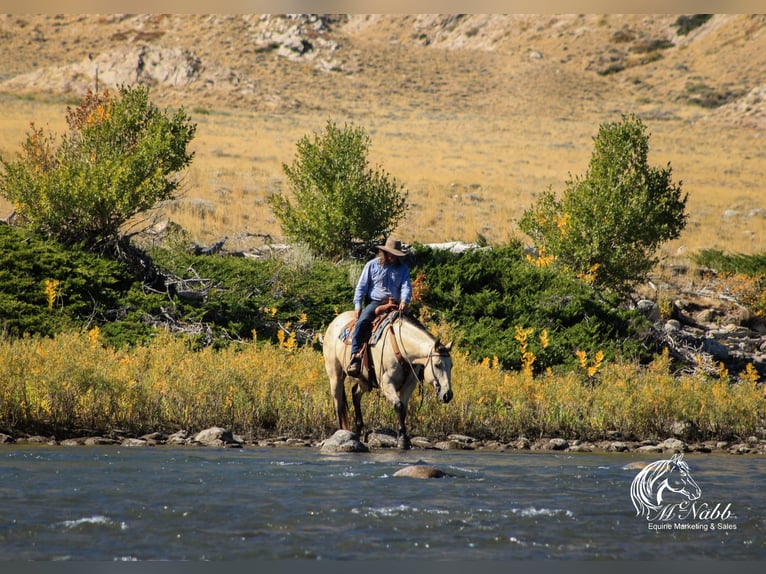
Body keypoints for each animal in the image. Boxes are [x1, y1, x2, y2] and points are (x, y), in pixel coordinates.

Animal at [320, 310, 452, 450]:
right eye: (437, 365)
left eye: (451, 365)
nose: (447, 395)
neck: (401, 347)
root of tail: (334, 323)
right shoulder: (387, 383)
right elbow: (399, 406)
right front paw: (402, 440)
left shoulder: (409, 384)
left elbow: (404, 408)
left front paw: (404, 438)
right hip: (335, 376)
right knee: (338, 403)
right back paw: (341, 432)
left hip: (364, 381)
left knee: (355, 393)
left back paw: (358, 430)